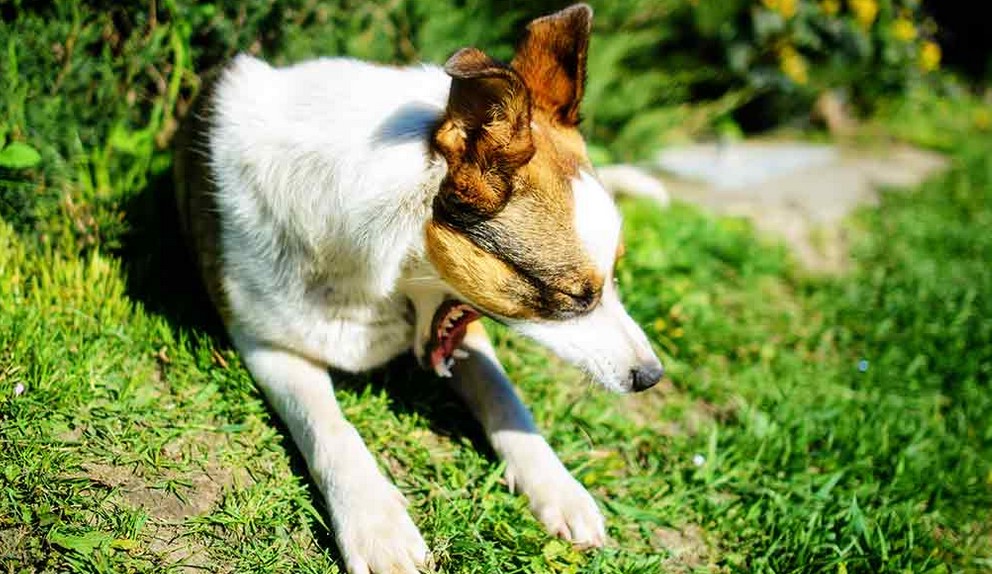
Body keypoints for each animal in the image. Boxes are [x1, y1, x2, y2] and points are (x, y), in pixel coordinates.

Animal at [174, 5, 664, 574]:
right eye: (575, 297)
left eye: (615, 277)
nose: (651, 376)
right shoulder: (266, 342)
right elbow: (328, 427)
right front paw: (376, 525)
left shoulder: (463, 330)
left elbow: (505, 395)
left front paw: (557, 488)